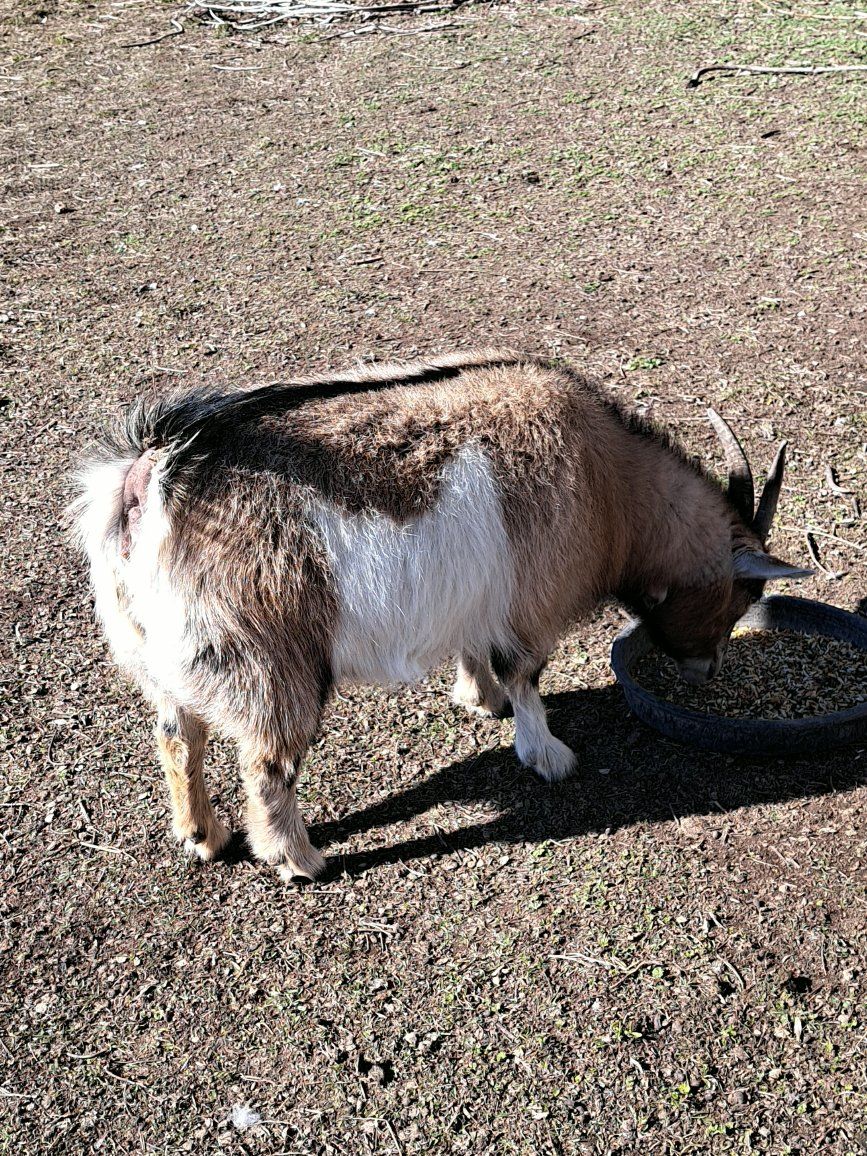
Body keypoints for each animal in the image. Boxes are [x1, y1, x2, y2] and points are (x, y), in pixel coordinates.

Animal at [72, 351, 810, 880]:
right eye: (739, 596)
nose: (706, 670)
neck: (611, 487)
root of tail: (146, 481)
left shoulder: (479, 598)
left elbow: (478, 653)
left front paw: (479, 700)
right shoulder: (530, 605)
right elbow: (527, 677)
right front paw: (548, 755)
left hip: (161, 654)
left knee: (178, 733)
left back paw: (204, 835)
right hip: (266, 661)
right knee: (266, 762)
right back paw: (299, 860)